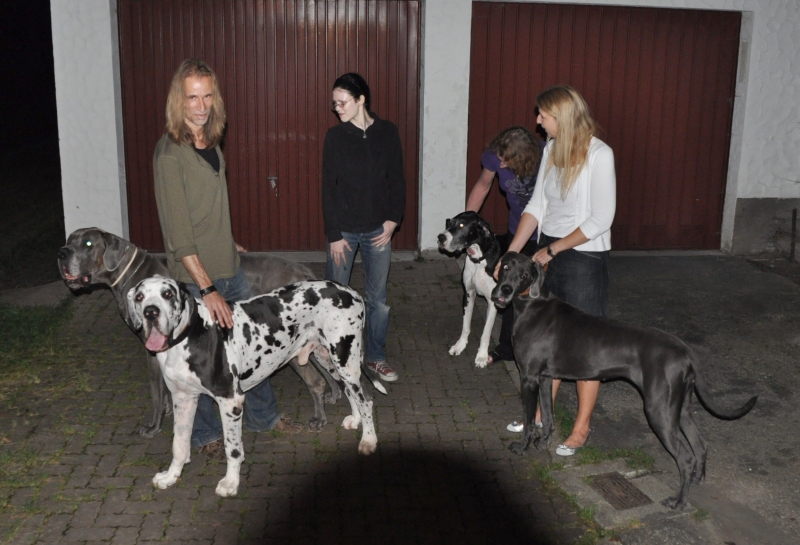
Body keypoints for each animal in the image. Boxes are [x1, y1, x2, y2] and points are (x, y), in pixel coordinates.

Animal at [57, 227, 340, 437]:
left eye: (88, 244)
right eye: (70, 240)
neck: (130, 272)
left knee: (316, 378)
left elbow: (155, 391)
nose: (62, 253)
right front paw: (169, 409)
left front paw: (154, 425)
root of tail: (303, 270)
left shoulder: (153, 349)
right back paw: (333, 396)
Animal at [127, 276, 381, 496]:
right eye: (140, 297)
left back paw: (368, 440)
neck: (190, 335)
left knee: (366, 398)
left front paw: (230, 483)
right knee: (350, 391)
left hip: (345, 358)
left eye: (167, 294)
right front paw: (171, 476)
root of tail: (349, 290)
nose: (151, 312)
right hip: (329, 359)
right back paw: (355, 419)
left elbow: (232, 448)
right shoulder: (182, 399)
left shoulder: (230, 400)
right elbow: (178, 444)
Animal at [437, 211, 503, 367]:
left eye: (462, 225)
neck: (479, 259)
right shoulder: (468, 295)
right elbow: (466, 326)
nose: (440, 237)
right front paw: (460, 345)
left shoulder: (493, 302)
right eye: (449, 223)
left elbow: (486, 332)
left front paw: (482, 356)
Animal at [491, 252, 758, 510]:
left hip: (658, 410)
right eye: (506, 267)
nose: (504, 289)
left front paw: (522, 447)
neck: (532, 303)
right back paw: (697, 480)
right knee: (700, 444)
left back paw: (679, 502)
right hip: (679, 408)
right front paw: (544, 441)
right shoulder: (546, 378)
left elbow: (528, 419)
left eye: (524, 275)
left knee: (685, 457)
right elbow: (547, 415)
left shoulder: (528, 378)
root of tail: (685, 350)